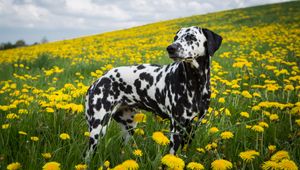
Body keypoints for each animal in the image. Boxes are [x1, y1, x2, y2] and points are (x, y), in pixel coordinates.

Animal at [85, 25, 221, 160]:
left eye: (191, 37)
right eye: (176, 37)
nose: (171, 48)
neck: (196, 83)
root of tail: (98, 80)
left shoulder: (192, 127)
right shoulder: (176, 129)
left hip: (129, 127)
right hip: (98, 130)